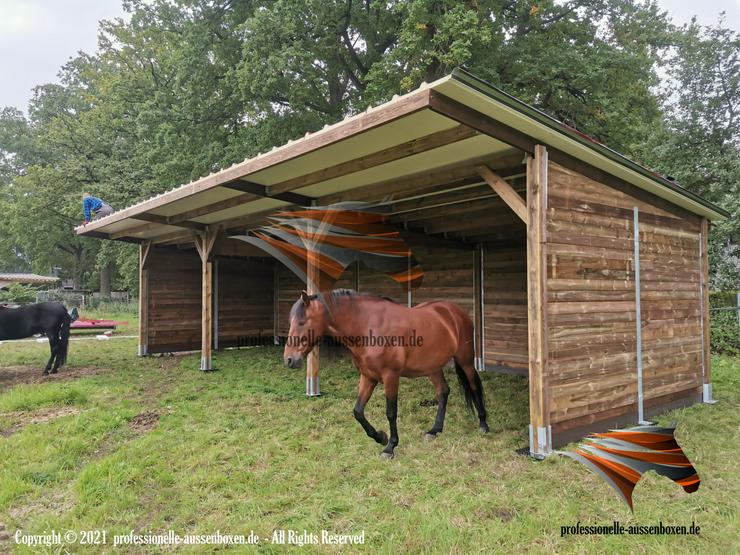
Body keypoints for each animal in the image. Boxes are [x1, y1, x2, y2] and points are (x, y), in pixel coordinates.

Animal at [282, 288, 486, 458]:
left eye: (302, 322)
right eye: (290, 322)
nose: (289, 359)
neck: (368, 327)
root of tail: (454, 312)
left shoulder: (391, 377)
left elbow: (391, 412)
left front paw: (390, 447)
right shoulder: (368, 377)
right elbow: (358, 411)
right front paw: (380, 436)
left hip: (466, 360)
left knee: (474, 384)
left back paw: (483, 424)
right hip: (432, 367)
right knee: (443, 392)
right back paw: (435, 430)